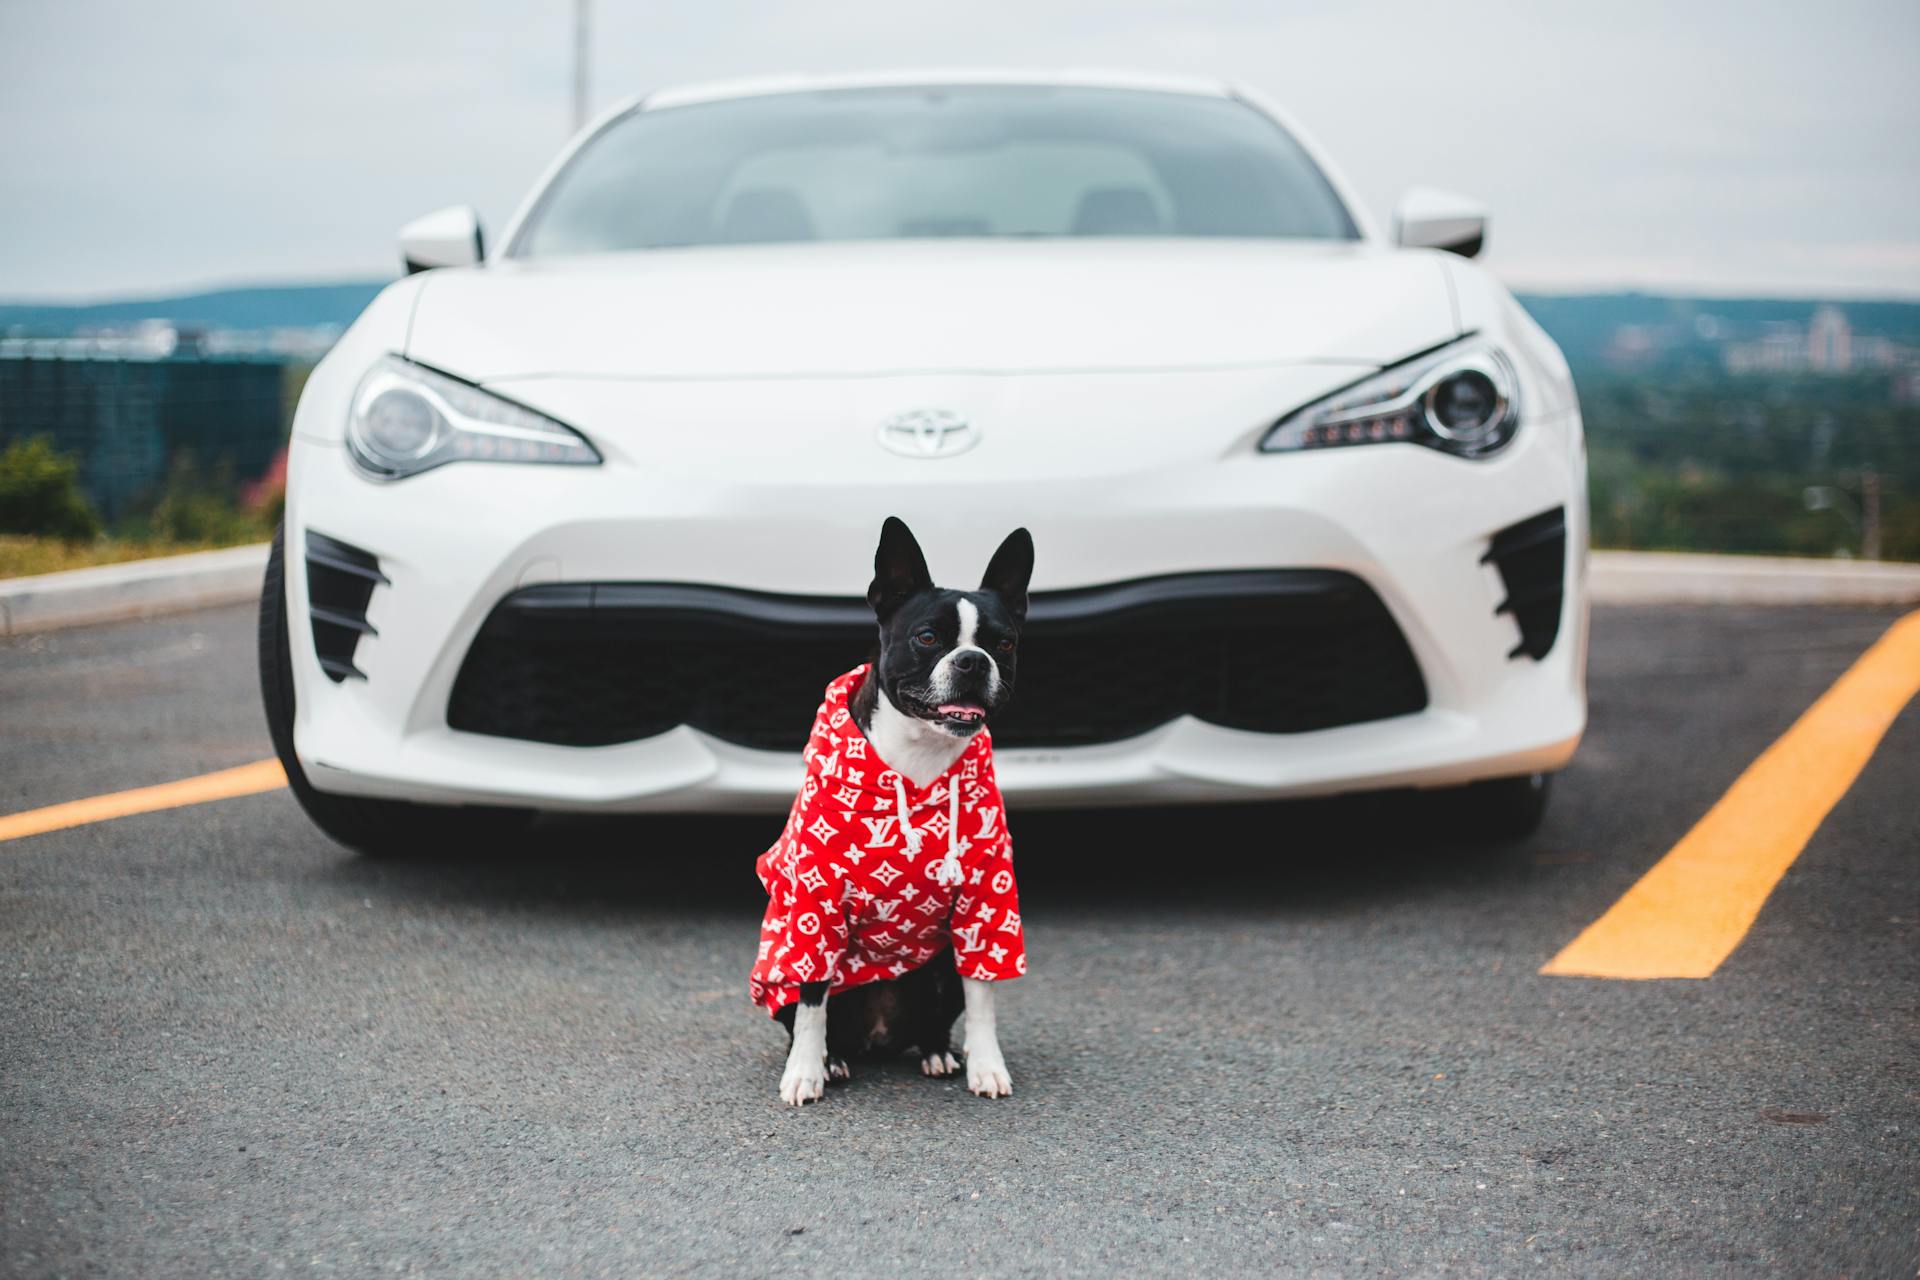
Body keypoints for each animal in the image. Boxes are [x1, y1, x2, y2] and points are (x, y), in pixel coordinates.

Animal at [760, 518, 1036, 1105]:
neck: (920, 758)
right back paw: (831, 1060)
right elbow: (813, 999)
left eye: (1004, 643)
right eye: (927, 637)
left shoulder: (986, 904)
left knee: (939, 1017)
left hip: (940, 968)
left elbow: (983, 997)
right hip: (781, 982)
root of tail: (880, 1037)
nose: (973, 661)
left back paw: (938, 1052)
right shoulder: (816, 906)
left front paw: (987, 1065)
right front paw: (804, 1073)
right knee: (807, 1013)